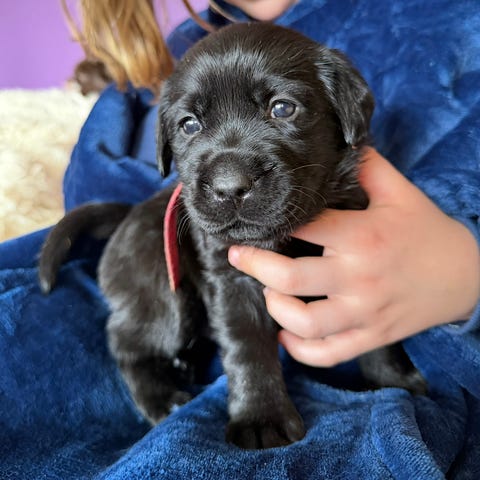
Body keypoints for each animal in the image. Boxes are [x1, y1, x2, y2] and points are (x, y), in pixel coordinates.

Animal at [39, 23, 425, 450]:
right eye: (189, 125)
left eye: (282, 108)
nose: (229, 188)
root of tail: (127, 214)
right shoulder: (232, 279)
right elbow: (248, 346)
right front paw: (261, 416)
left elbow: (375, 330)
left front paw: (394, 380)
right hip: (160, 290)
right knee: (128, 344)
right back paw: (162, 398)